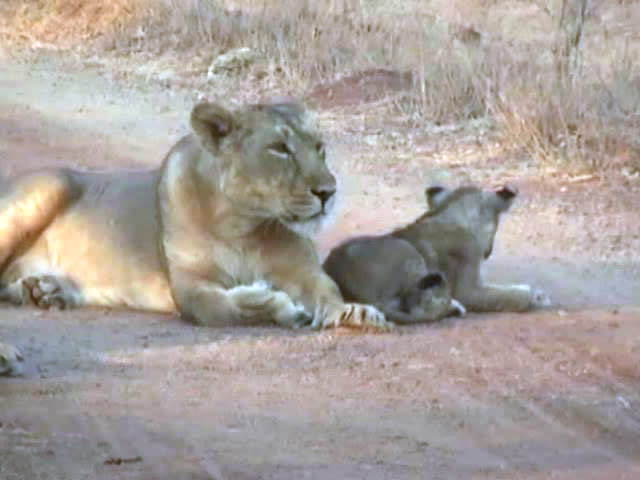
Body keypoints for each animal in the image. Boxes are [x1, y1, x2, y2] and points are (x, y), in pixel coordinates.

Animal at [0, 100, 392, 376]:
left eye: (320, 147)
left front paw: (353, 312)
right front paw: (275, 303)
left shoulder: (303, 271)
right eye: (280, 147)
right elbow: (223, 308)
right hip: (45, 189)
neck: (241, 225)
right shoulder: (190, 288)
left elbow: (328, 289)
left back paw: (45, 290)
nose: (328, 191)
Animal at [323, 184, 550, 324]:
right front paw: (537, 297)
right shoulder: (469, 289)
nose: (488, 252)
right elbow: (509, 295)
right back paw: (453, 306)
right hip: (408, 251)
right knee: (417, 306)